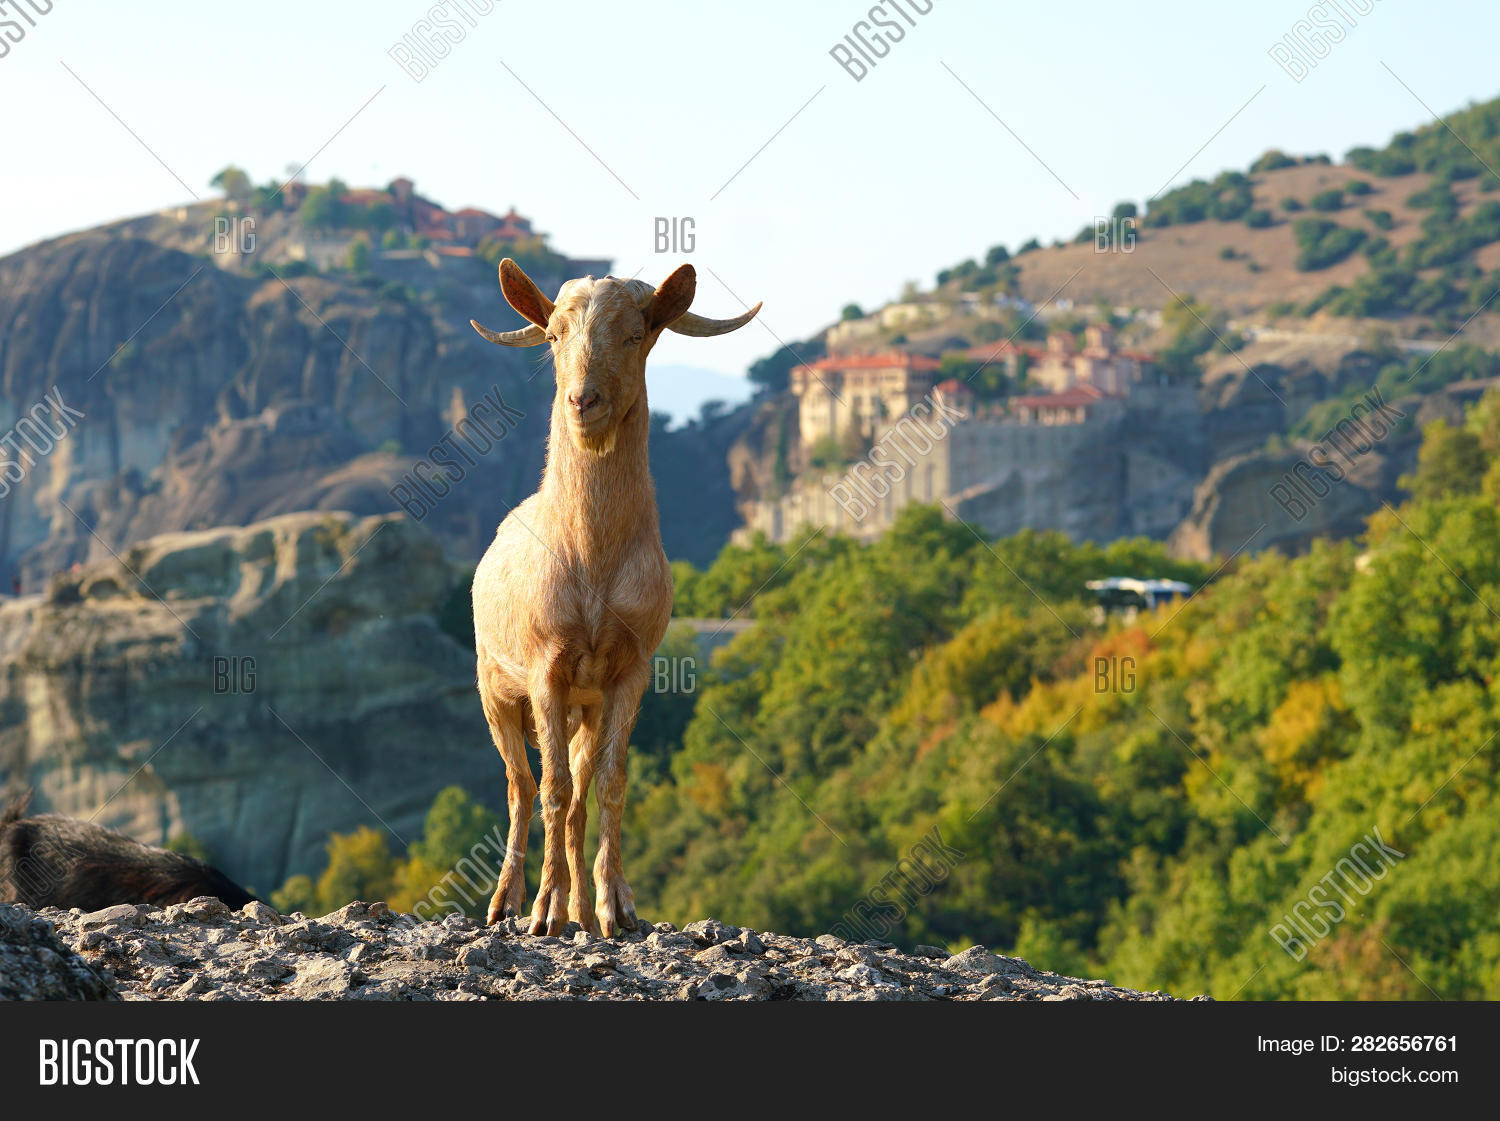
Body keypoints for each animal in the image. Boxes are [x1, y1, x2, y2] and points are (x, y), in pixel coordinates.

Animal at [469, 259, 760, 935]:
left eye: (636, 334)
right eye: (553, 336)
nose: (584, 400)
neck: (592, 566)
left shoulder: (629, 669)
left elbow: (609, 782)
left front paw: (616, 908)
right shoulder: (546, 666)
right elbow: (549, 787)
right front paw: (543, 913)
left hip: (587, 705)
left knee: (576, 790)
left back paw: (580, 909)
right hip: (494, 688)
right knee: (520, 784)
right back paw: (505, 903)